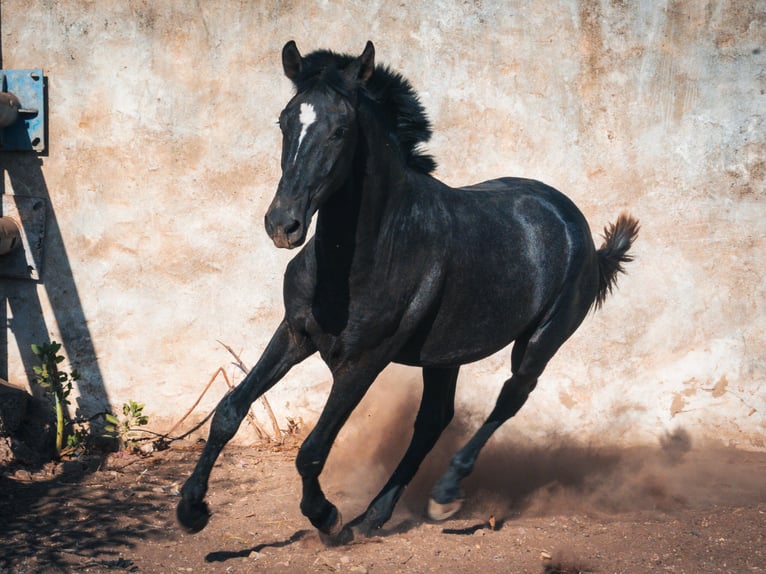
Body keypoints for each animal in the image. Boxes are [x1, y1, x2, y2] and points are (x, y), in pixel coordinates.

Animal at [177, 40, 640, 544]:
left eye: (340, 130)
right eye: (284, 121)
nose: (283, 225)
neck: (367, 252)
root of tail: (578, 229)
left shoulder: (363, 360)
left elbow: (313, 448)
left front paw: (327, 517)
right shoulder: (295, 333)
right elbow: (229, 410)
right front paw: (191, 510)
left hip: (542, 340)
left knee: (511, 397)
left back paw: (442, 495)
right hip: (447, 353)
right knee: (433, 420)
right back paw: (374, 516)